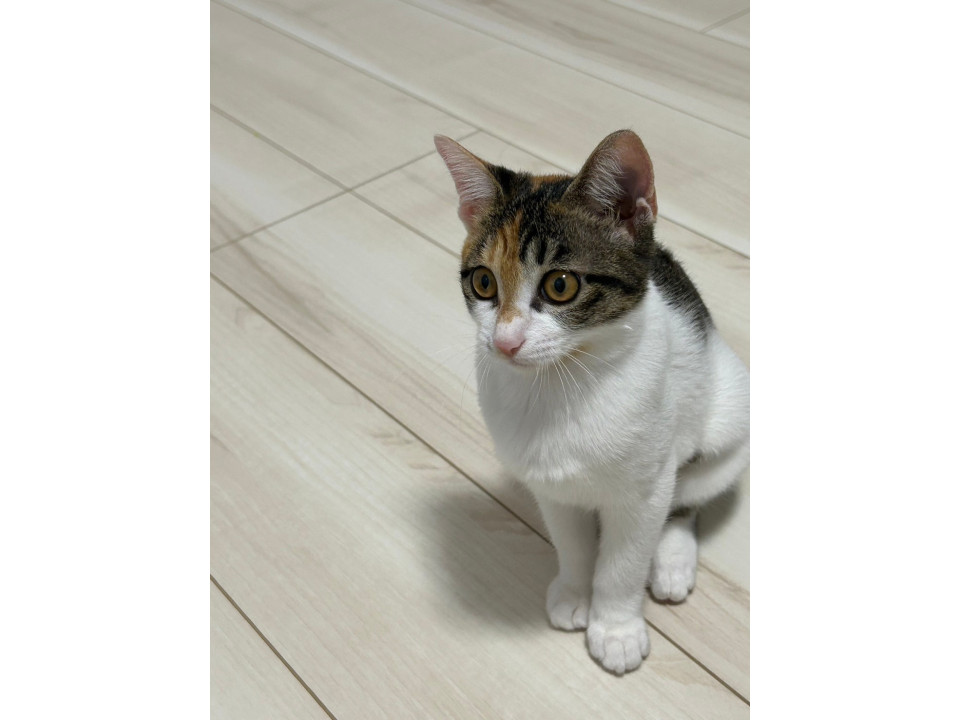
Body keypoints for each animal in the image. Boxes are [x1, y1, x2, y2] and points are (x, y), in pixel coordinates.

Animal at [434, 130, 749, 674]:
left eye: (561, 284)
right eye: (483, 282)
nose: (505, 342)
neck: (560, 384)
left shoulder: (645, 489)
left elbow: (624, 561)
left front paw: (616, 628)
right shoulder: (549, 483)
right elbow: (572, 541)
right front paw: (574, 593)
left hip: (727, 420)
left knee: (688, 496)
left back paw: (672, 561)